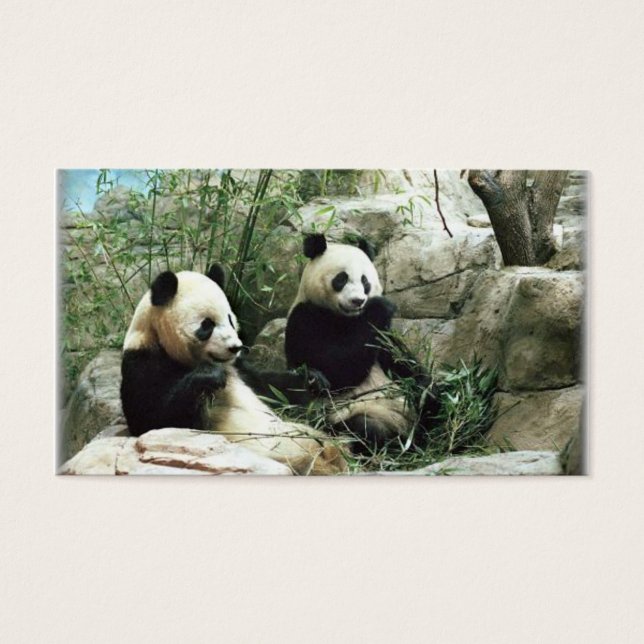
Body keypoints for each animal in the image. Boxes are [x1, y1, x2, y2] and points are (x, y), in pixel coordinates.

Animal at [120, 264, 347, 475]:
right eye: (207, 325)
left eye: (229, 318)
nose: (235, 347)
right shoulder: (142, 364)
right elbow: (154, 421)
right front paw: (209, 376)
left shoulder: (240, 368)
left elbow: (271, 386)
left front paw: (312, 379)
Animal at [285, 233, 439, 451]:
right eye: (341, 278)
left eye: (365, 281)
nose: (358, 301)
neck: (347, 318)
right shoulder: (305, 318)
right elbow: (335, 370)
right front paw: (379, 305)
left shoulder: (383, 336)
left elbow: (402, 362)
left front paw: (424, 385)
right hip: (350, 415)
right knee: (364, 428)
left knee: (429, 405)